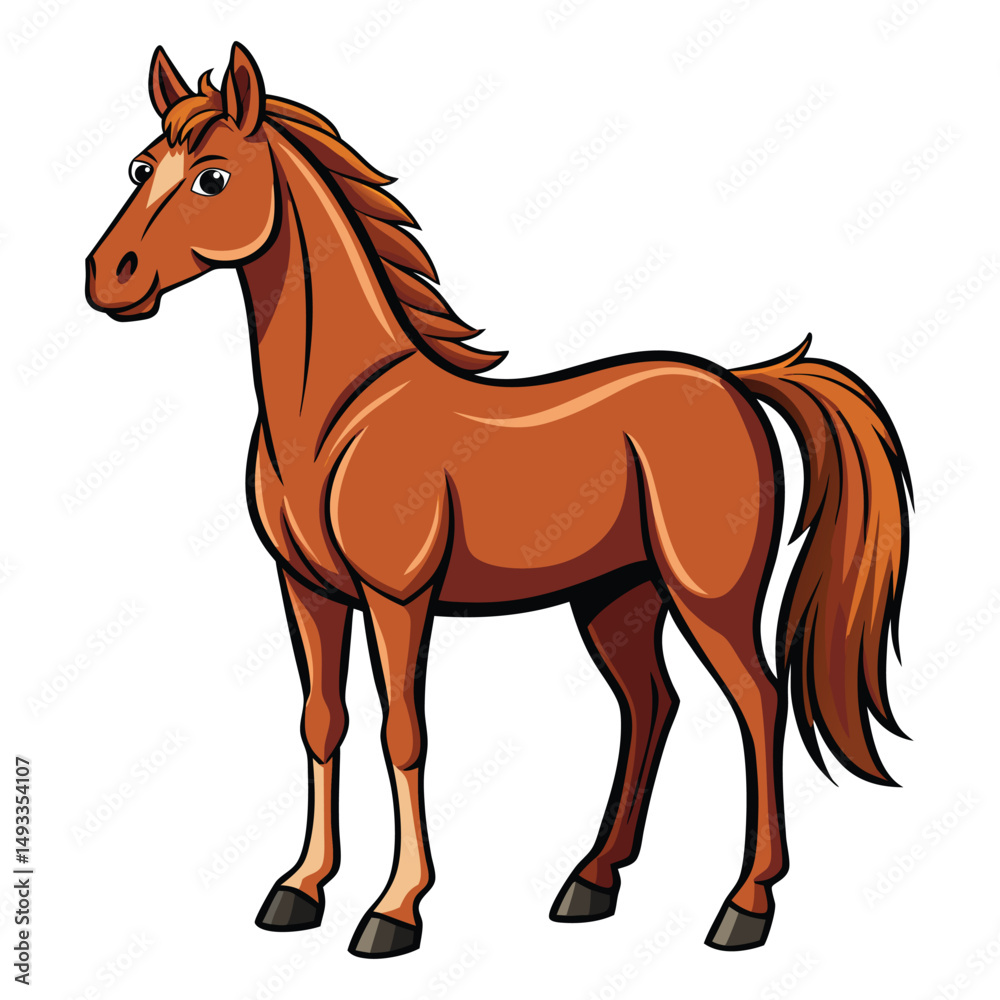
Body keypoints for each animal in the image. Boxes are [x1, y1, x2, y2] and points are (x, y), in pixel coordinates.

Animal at [85, 43, 911, 958]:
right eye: (141, 166)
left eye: (214, 178)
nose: (107, 278)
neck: (340, 416)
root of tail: (736, 381)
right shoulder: (306, 590)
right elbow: (322, 722)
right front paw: (299, 889)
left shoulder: (398, 596)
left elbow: (402, 733)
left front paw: (393, 911)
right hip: (616, 598)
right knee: (651, 706)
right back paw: (591, 882)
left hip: (709, 595)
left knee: (758, 704)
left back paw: (745, 905)